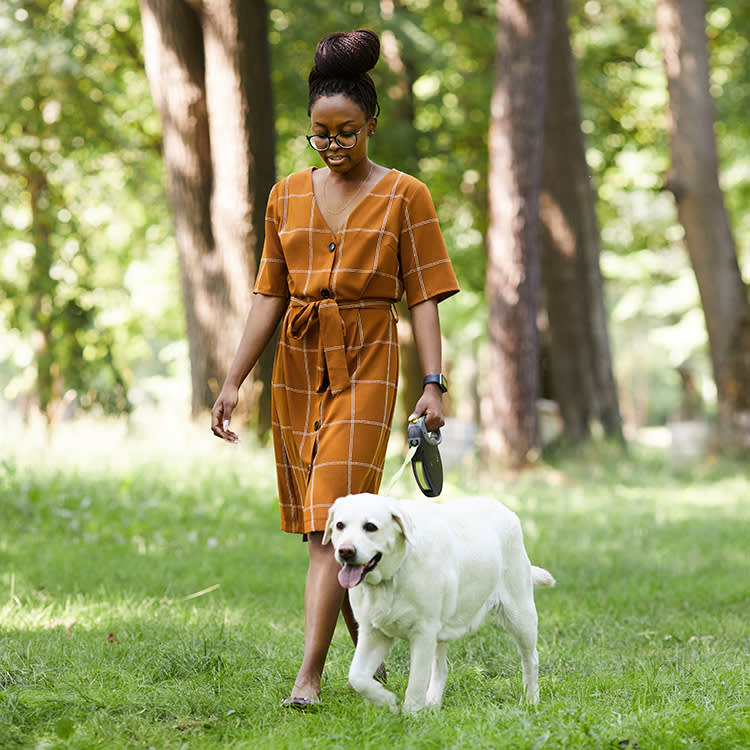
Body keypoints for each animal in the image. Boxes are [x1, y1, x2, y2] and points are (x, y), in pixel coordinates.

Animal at [324, 496, 560, 712]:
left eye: (370, 527)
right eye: (340, 525)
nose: (345, 551)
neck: (392, 578)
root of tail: (505, 508)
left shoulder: (423, 633)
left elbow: (416, 683)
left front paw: (410, 717)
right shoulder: (373, 632)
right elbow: (357, 677)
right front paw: (386, 700)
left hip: (520, 616)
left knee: (531, 659)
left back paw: (531, 700)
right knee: (441, 668)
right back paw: (433, 703)